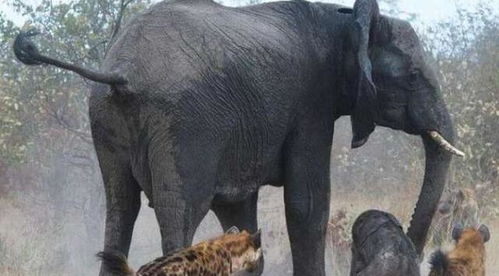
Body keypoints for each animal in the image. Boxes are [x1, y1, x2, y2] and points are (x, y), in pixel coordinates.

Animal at [12, 0, 464, 274]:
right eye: (412, 77)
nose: (415, 248)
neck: (342, 20)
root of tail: (120, 69)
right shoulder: (311, 105)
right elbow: (308, 205)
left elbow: (239, 212)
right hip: (182, 126)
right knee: (180, 213)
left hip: (105, 117)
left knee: (120, 208)